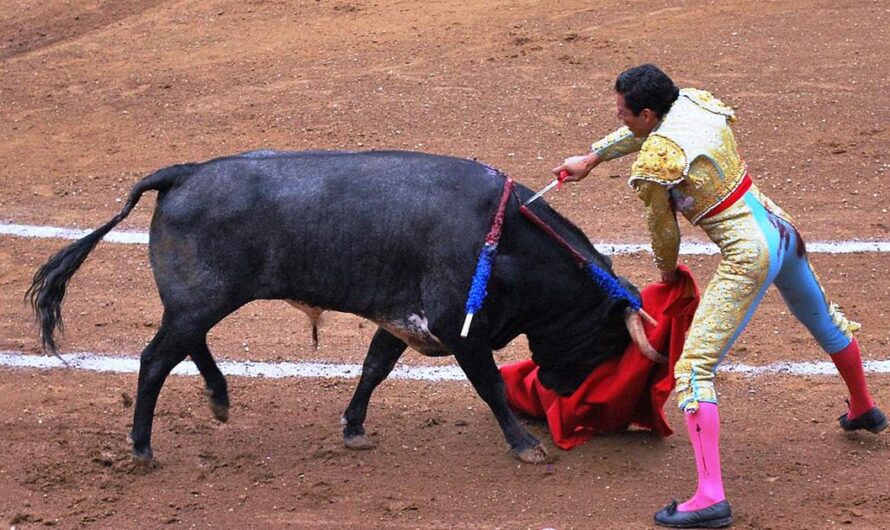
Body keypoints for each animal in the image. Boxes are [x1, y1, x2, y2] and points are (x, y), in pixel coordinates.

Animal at [29, 150, 640, 462]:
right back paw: (142, 447)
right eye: (608, 338)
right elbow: (490, 386)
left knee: (184, 346)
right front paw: (526, 445)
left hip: (197, 300)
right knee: (156, 359)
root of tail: (184, 173)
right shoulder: (459, 330)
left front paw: (353, 428)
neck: (505, 240)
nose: (560, 389)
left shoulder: (401, 319)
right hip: (201, 300)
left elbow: (373, 368)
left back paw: (219, 400)